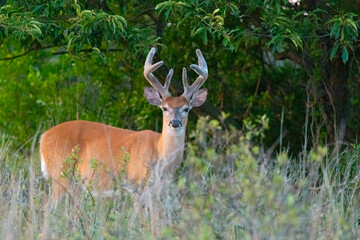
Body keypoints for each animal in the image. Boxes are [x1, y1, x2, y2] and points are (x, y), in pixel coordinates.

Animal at [39, 47, 208, 203]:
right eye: (164, 108)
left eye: (186, 109)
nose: (175, 122)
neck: (160, 153)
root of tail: (43, 137)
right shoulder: (137, 184)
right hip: (60, 172)